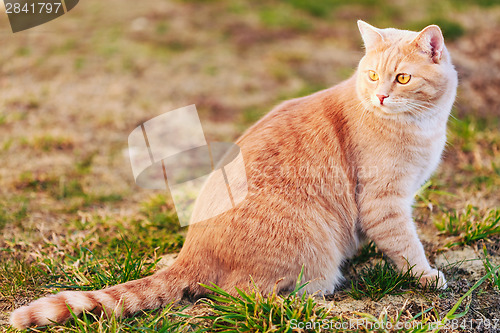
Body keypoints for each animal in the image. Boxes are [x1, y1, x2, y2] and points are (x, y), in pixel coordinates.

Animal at [10, 20, 458, 326]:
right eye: (372, 75)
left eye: (402, 78)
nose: (381, 96)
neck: (422, 125)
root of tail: (190, 253)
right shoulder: (384, 203)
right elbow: (406, 247)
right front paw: (427, 277)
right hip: (306, 244)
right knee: (244, 295)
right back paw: (309, 297)